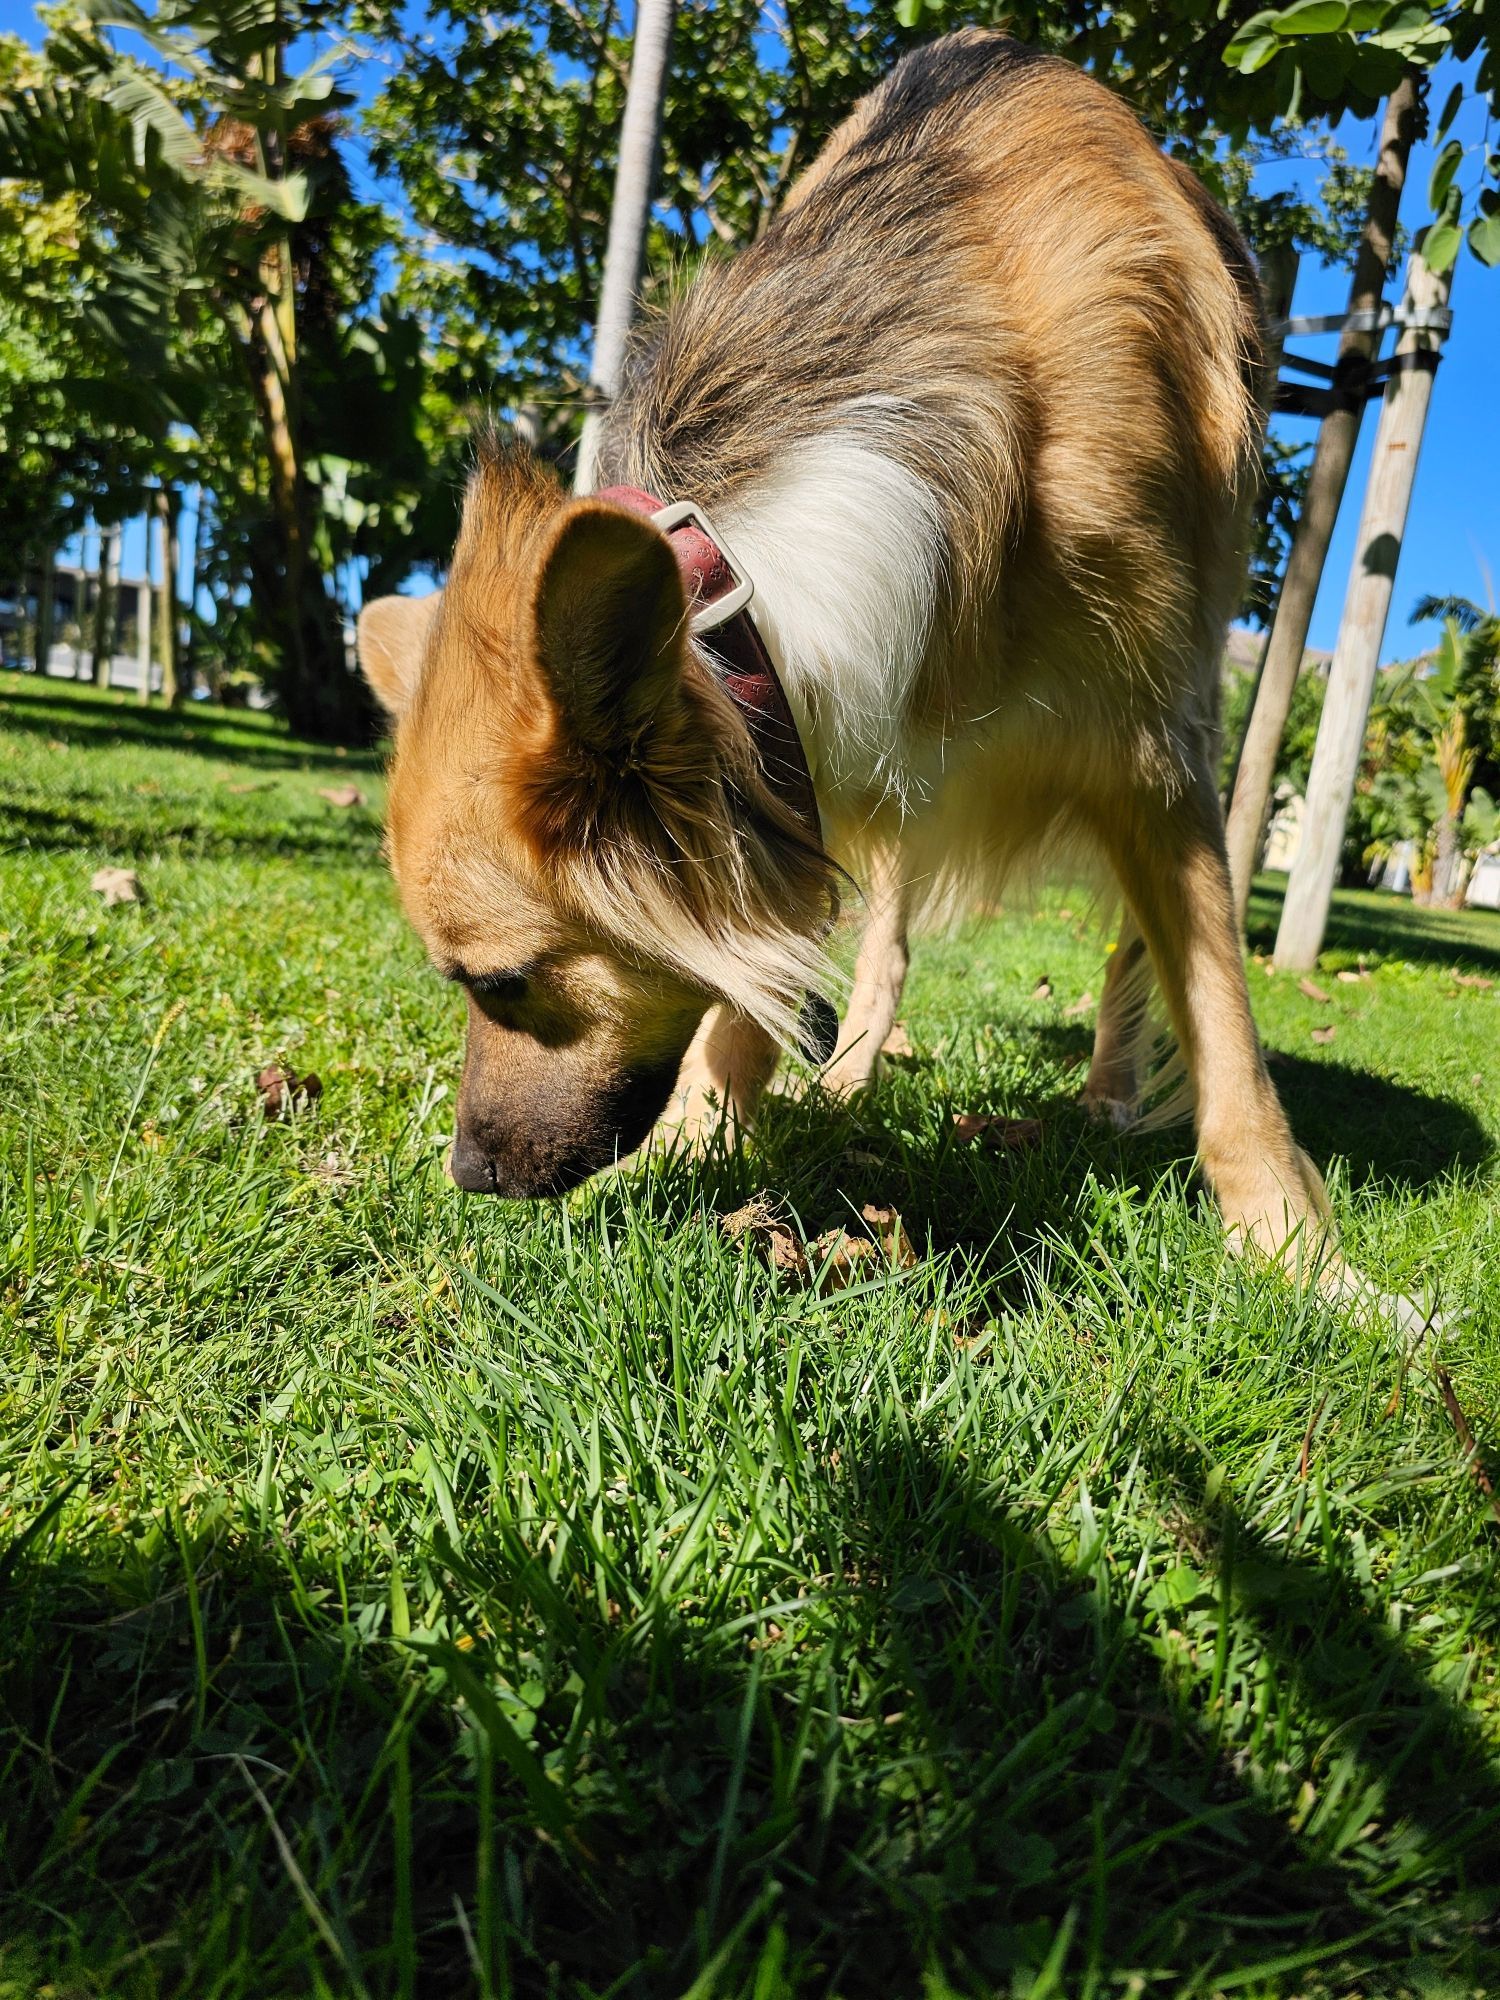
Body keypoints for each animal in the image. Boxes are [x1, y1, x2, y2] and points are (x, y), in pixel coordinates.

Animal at [358, 27, 1336, 1248]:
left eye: (496, 983)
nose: (467, 1177)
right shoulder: (815, 752)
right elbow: (761, 961)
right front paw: (703, 1133)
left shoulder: (1151, 751)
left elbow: (1222, 1023)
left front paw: (1300, 1253)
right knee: (893, 938)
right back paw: (857, 1067)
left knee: (1136, 951)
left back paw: (1111, 1090)